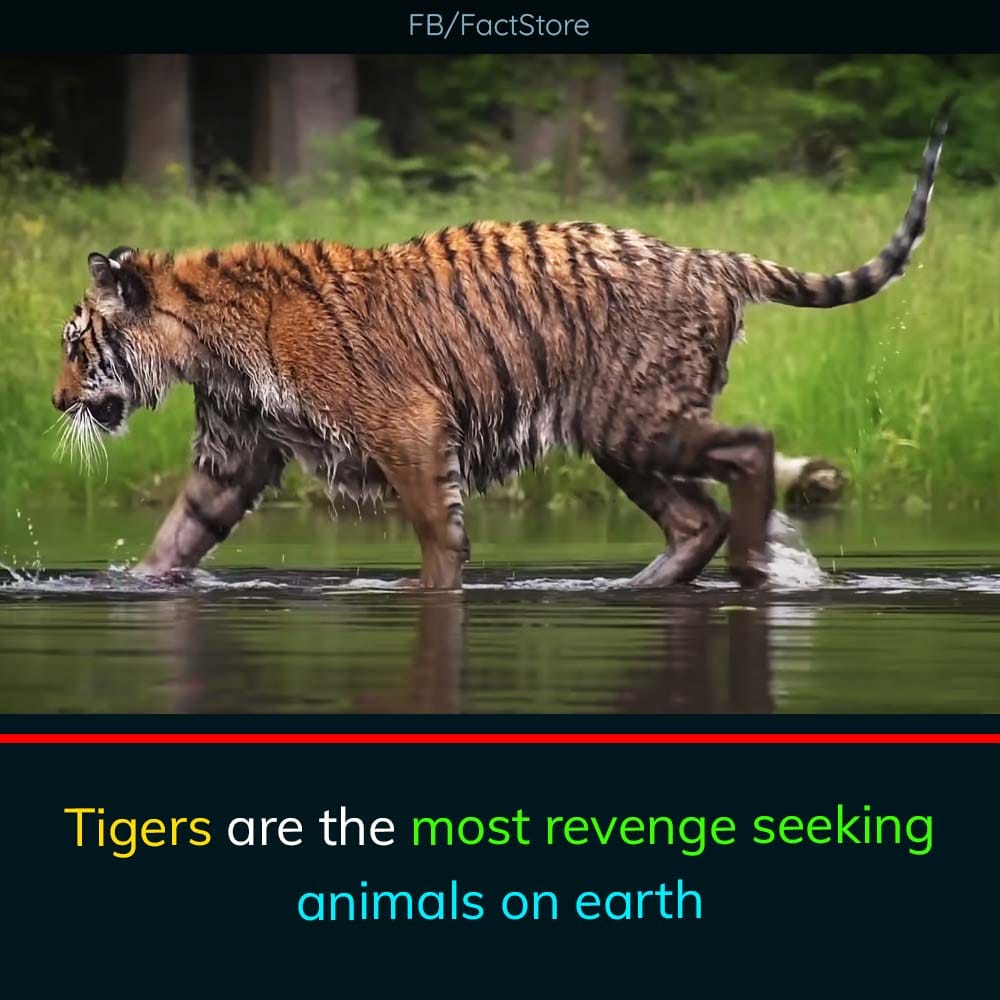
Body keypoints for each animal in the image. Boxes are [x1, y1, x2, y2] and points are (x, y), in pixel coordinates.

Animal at [52, 100, 951, 590]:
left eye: (77, 343)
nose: (58, 401)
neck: (202, 342)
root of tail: (708, 255)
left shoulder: (407, 423)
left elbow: (435, 530)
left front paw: (433, 589)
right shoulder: (233, 452)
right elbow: (178, 535)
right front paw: (129, 585)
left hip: (639, 419)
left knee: (754, 447)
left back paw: (760, 567)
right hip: (618, 433)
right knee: (697, 518)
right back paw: (639, 586)